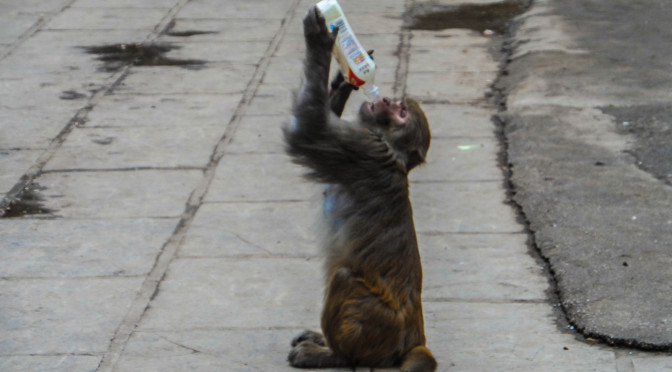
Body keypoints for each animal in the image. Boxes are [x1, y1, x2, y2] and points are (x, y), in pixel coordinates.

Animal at [282, 6, 436, 372]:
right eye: (396, 103)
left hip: (378, 326)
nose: (383, 98)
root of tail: (414, 338)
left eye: (401, 111)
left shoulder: (364, 153)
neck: (389, 148)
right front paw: (343, 82)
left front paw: (321, 42)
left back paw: (332, 355)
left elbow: (307, 130)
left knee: (343, 279)